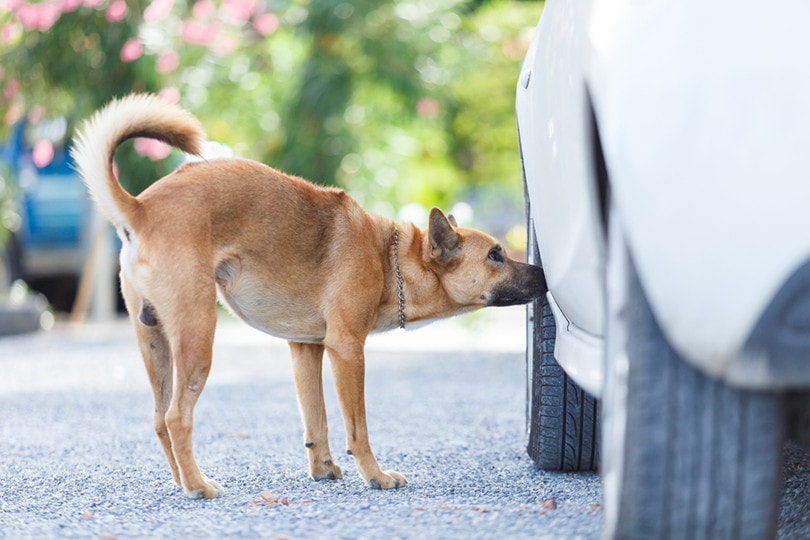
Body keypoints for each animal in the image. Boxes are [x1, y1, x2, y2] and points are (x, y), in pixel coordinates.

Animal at [72, 95, 548, 500]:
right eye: (495, 254)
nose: (543, 274)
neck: (388, 257)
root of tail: (142, 209)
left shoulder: (306, 350)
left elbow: (316, 419)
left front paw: (322, 468)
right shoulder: (347, 351)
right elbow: (357, 428)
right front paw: (375, 476)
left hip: (156, 345)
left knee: (159, 420)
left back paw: (182, 480)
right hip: (197, 338)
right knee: (176, 417)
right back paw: (198, 486)